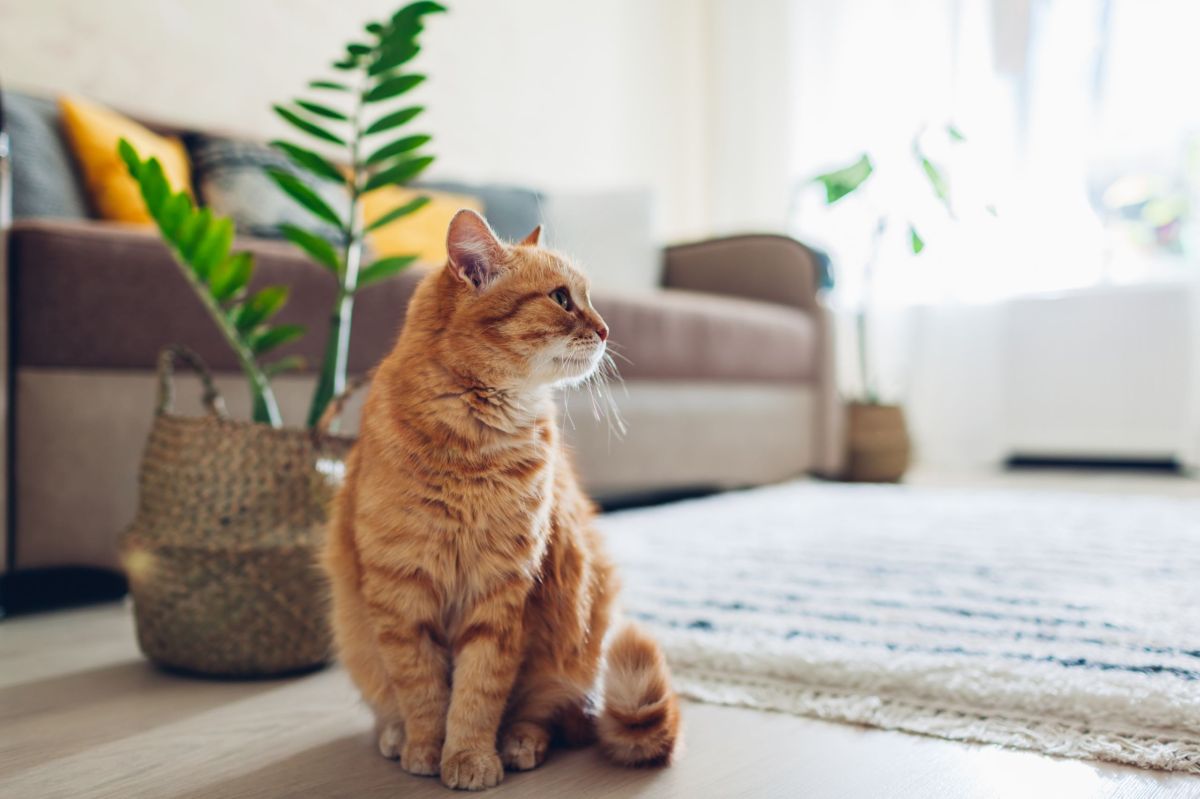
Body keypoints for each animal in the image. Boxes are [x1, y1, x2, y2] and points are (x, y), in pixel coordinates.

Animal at [324, 208, 681, 787]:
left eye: (587, 297)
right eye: (561, 298)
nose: (607, 329)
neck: (474, 447)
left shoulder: (503, 592)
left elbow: (477, 691)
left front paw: (469, 756)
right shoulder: (401, 594)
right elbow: (421, 689)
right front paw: (426, 748)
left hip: (579, 631)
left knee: (548, 712)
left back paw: (519, 742)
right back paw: (395, 735)